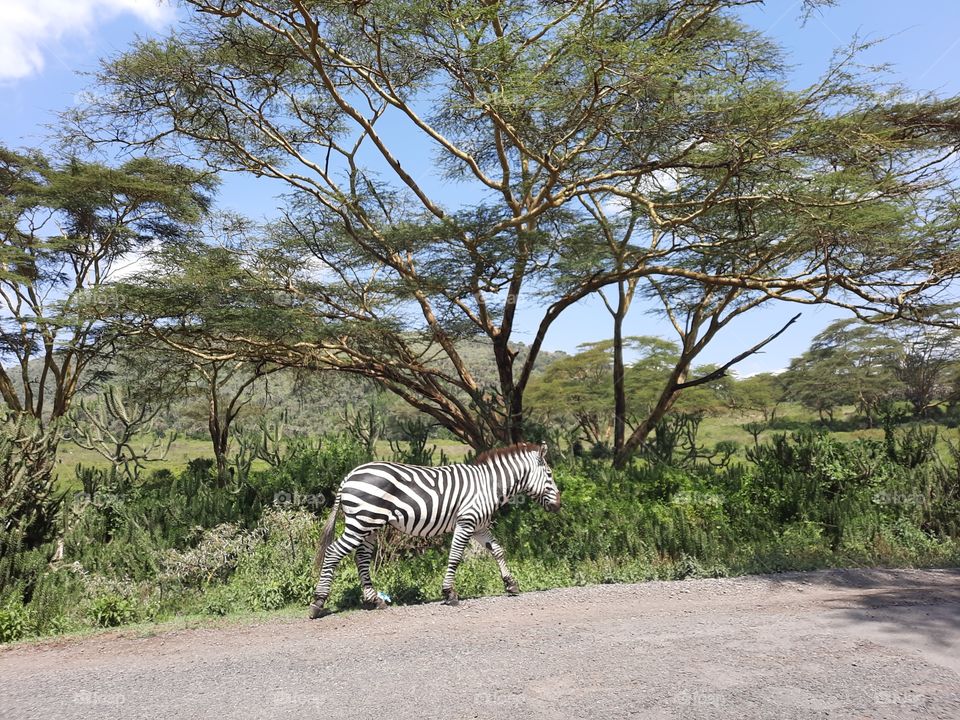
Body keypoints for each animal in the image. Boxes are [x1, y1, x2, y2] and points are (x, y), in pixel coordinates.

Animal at [308, 442, 561, 618]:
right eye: (549, 475)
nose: (559, 505)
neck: (488, 485)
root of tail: (349, 476)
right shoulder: (466, 521)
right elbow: (455, 557)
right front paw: (450, 593)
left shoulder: (479, 526)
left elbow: (497, 550)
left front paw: (510, 584)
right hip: (362, 522)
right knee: (333, 553)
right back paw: (318, 603)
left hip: (370, 526)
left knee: (361, 558)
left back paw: (374, 600)